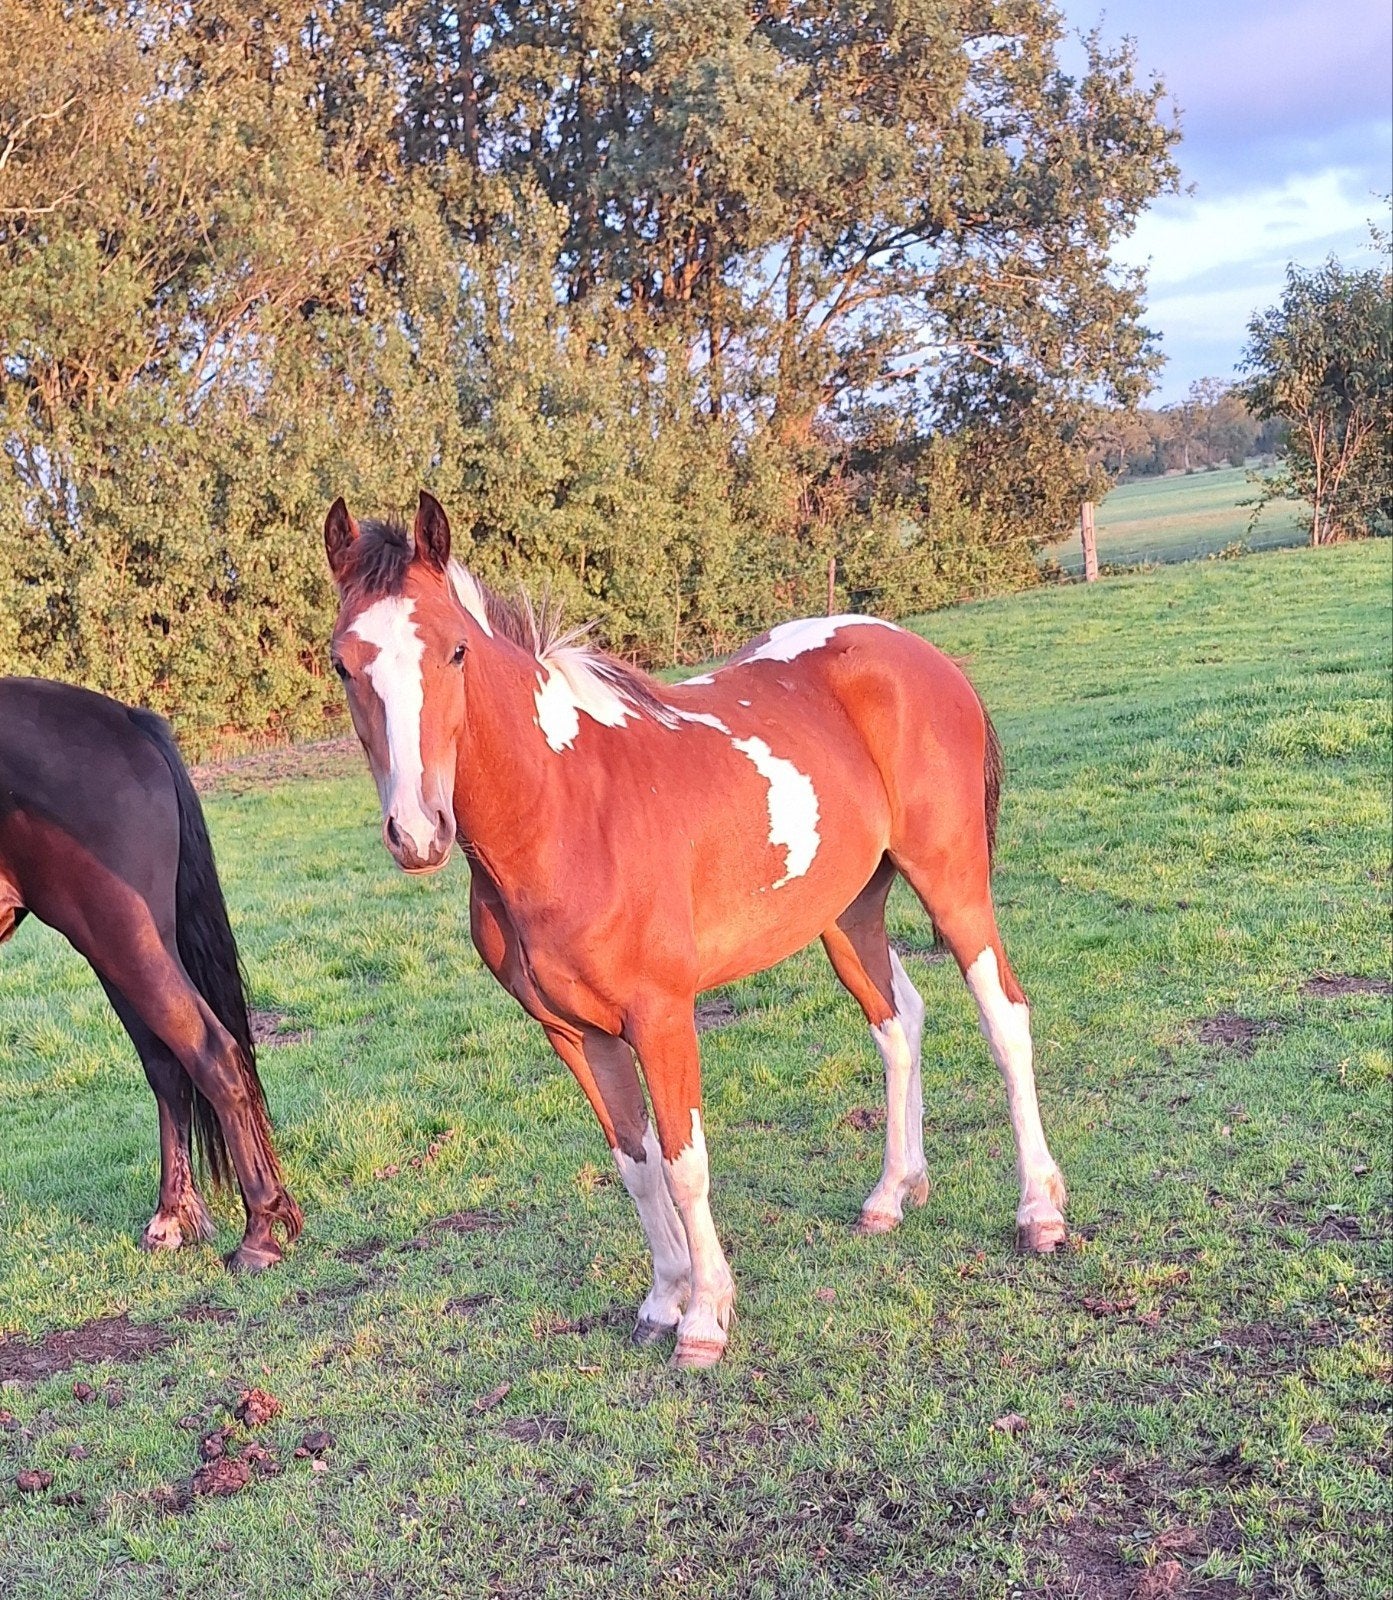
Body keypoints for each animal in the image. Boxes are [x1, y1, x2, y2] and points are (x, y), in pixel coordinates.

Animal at [0, 678, 301, 1270]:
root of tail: (126, 721)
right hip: (122, 948)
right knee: (166, 1065)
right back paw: (171, 1218)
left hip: (122, 941)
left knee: (209, 1052)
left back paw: (257, 1234)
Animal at [323, 491, 1068, 1367]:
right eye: (342, 664)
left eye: (456, 651)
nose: (417, 833)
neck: (566, 812)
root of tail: (917, 652)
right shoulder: (572, 1033)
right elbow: (635, 1164)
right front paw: (662, 1301)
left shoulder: (661, 1016)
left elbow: (684, 1164)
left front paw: (706, 1317)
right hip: (845, 910)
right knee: (897, 1022)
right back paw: (892, 1193)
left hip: (950, 883)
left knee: (1003, 1018)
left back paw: (1039, 1213)